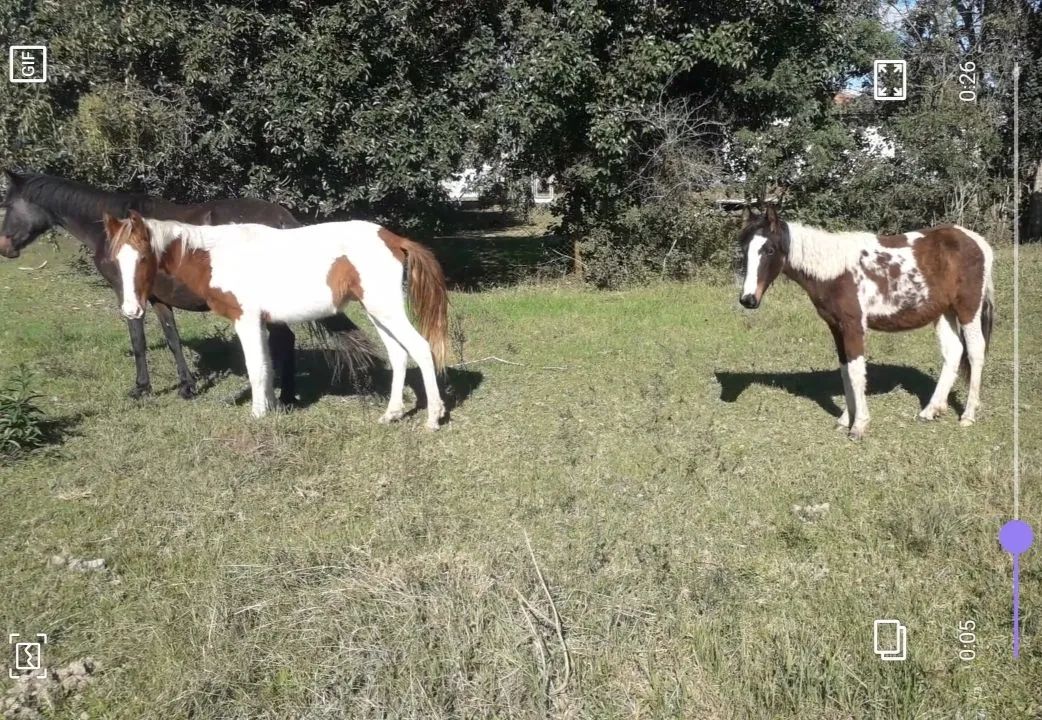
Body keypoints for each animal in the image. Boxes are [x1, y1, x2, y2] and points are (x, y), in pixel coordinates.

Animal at [0, 170, 371, 402]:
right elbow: (172, 338)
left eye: (6, 205)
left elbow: (138, 340)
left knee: (285, 340)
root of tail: (281, 219)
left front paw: (141, 388)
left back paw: (285, 395)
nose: (4, 247)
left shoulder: (127, 294)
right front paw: (186, 386)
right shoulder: (158, 298)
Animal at [105, 211, 449, 429]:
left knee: (421, 348)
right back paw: (392, 414)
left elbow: (255, 368)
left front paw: (258, 414)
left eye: (143, 257)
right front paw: (270, 407)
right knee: (399, 355)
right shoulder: (260, 323)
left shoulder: (245, 320)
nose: (131, 310)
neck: (215, 255)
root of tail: (393, 239)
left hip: (386, 308)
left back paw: (433, 418)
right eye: (115, 259)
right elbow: (267, 367)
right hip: (377, 312)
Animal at [738, 205, 994, 440]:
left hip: (968, 310)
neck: (835, 272)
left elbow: (856, 371)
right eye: (744, 250)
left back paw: (968, 414)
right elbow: (845, 370)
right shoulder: (836, 326)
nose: (748, 299)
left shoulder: (853, 325)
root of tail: (977, 241)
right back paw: (931, 410)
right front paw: (845, 419)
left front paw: (859, 425)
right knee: (953, 351)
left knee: (975, 352)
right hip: (943, 312)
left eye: (769, 249)